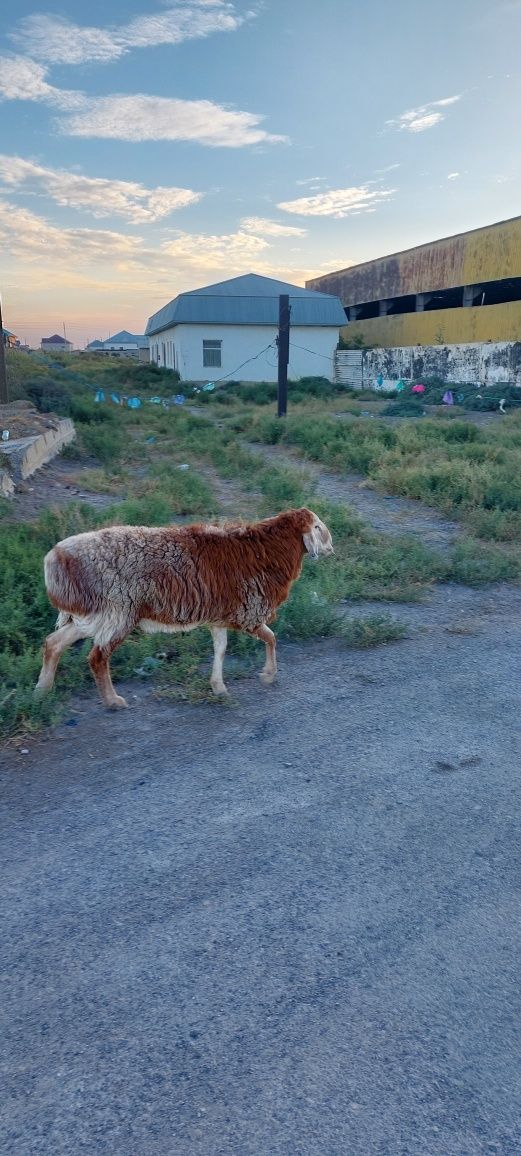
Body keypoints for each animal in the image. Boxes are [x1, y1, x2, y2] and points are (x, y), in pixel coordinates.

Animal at [34, 508, 335, 707]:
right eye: (318, 527)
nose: (331, 548)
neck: (268, 550)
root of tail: (56, 558)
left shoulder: (220, 615)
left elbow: (221, 649)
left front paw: (218, 686)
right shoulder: (248, 612)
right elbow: (271, 638)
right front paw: (269, 675)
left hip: (96, 614)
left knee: (54, 643)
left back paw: (42, 689)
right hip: (118, 611)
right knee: (97, 657)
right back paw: (112, 701)